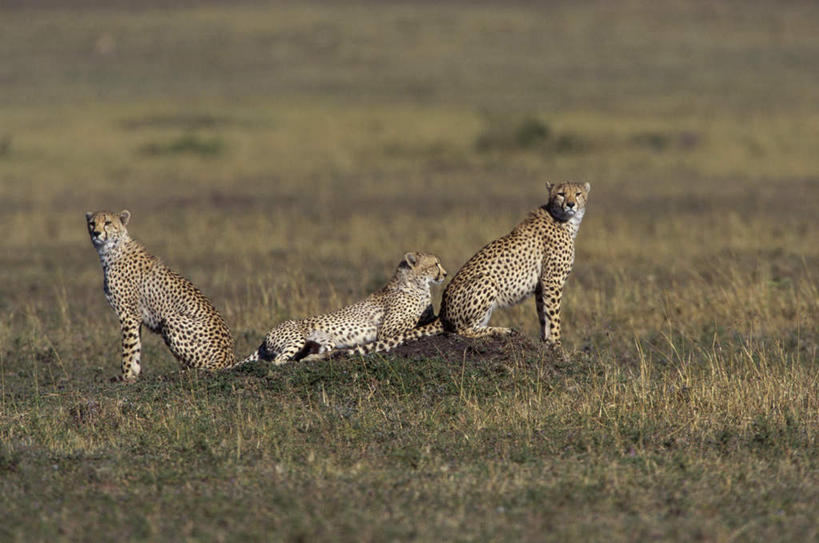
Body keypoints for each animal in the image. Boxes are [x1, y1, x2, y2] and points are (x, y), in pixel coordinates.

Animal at [85, 209, 235, 382]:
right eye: (92, 223)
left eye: (108, 222)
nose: (96, 233)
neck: (112, 250)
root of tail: (230, 356)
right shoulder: (135, 317)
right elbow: (136, 347)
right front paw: (134, 375)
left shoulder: (128, 315)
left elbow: (128, 349)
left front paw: (126, 377)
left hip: (170, 320)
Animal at [234, 251, 446, 366]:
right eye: (435, 264)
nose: (445, 273)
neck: (417, 284)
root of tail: (266, 336)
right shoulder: (386, 330)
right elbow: (413, 321)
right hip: (296, 338)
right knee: (278, 361)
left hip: (325, 341)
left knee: (311, 352)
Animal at [342, 181, 592, 356]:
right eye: (561, 193)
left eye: (578, 193)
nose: (571, 204)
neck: (563, 220)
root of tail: (443, 311)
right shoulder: (553, 281)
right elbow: (554, 315)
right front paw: (557, 344)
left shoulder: (543, 284)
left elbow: (543, 314)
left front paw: (546, 342)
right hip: (487, 281)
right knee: (461, 331)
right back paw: (500, 330)